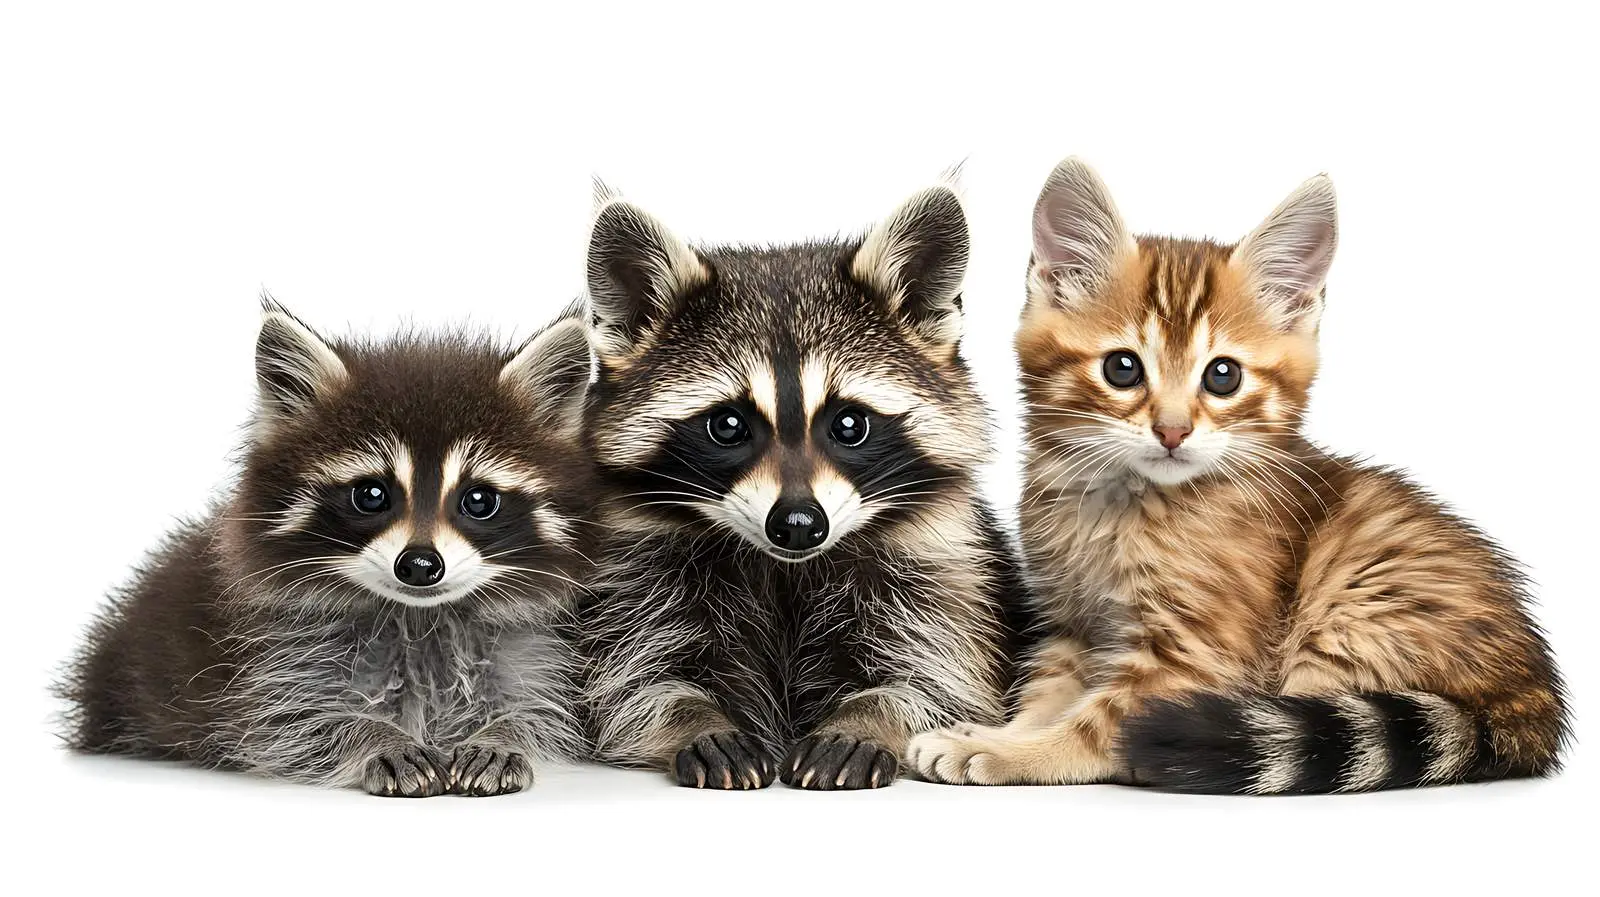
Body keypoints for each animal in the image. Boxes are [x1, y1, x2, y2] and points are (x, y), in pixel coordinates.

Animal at [57, 300, 596, 796]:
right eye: (371, 495)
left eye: (478, 500)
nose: (420, 565)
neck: (417, 615)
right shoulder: (266, 662)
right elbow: (294, 724)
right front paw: (377, 737)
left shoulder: (532, 650)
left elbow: (540, 710)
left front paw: (500, 735)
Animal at [578, 183, 1028, 790]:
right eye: (728, 426)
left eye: (849, 424)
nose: (798, 524)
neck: (785, 568)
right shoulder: (635, 579)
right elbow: (630, 684)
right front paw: (698, 719)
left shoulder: (942, 572)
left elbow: (942, 679)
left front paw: (868, 717)